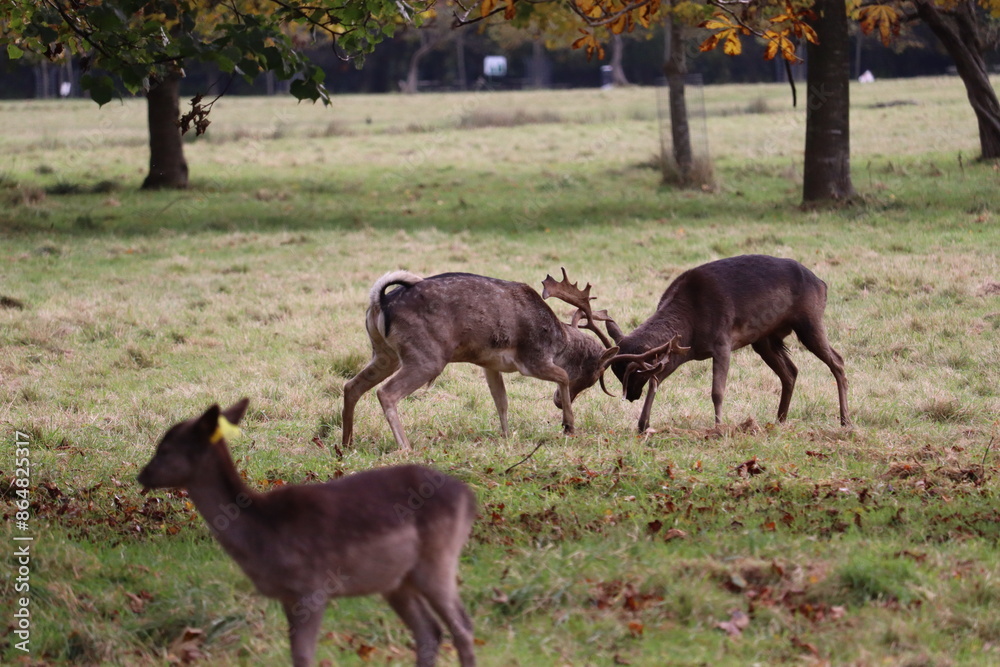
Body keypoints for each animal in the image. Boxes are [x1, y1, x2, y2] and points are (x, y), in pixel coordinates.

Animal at [137, 398, 477, 667]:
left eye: (165, 448)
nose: (142, 474)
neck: (261, 532)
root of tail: (468, 496)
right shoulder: (289, 596)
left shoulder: (312, 587)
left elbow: (303, 656)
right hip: (397, 580)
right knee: (429, 631)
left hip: (438, 559)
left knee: (463, 625)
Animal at [341, 270, 620, 450]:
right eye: (596, 375)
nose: (559, 403)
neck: (558, 341)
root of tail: (380, 301)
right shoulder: (533, 358)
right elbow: (562, 376)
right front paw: (569, 426)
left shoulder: (489, 364)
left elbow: (501, 400)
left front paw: (507, 436)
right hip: (427, 357)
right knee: (386, 392)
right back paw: (406, 447)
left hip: (385, 354)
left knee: (351, 386)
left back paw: (347, 443)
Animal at [604, 255, 851, 432]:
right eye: (617, 373)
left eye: (635, 373)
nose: (630, 396)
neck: (691, 325)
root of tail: (822, 284)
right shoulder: (674, 355)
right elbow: (657, 381)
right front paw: (642, 425)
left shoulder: (722, 342)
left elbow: (717, 391)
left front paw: (719, 428)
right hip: (764, 339)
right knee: (790, 372)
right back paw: (779, 420)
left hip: (810, 320)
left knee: (837, 361)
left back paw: (845, 420)